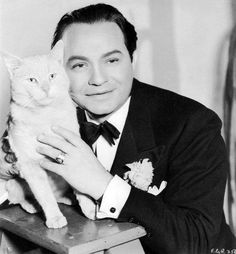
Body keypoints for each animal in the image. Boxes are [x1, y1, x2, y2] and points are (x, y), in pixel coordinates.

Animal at [0, 41, 79, 228]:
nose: (46, 88)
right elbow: (44, 195)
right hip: (13, 184)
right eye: (32, 80)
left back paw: (65, 198)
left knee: (57, 194)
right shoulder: (30, 165)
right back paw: (31, 205)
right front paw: (54, 217)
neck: (45, 116)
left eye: (52, 76)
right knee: (22, 198)